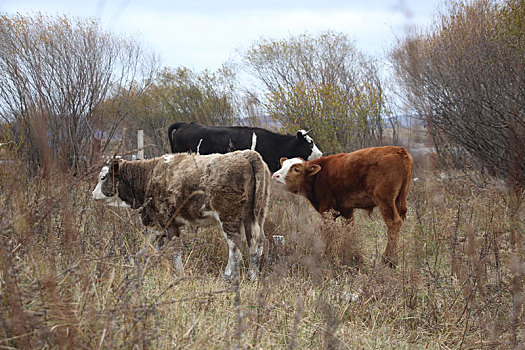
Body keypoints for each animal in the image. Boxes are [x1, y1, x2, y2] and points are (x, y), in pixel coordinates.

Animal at [270, 146, 414, 266]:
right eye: (283, 165)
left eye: (296, 169)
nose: (275, 175)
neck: (318, 176)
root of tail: (400, 151)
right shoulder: (346, 209)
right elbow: (349, 229)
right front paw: (353, 254)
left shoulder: (327, 210)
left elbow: (329, 232)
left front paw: (327, 255)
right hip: (399, 200)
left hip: (385, 200)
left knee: (394, 223)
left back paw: (389, 260)